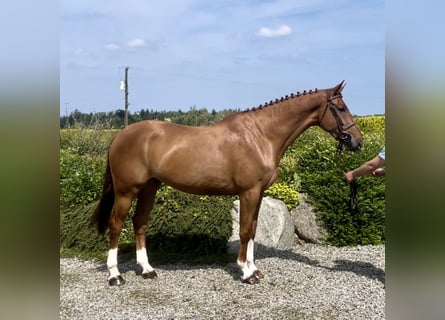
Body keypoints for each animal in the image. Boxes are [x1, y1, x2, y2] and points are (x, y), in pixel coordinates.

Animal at [91, 82, 360, 284]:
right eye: (340, 108)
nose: (358, 141)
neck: (260, 135)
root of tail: (121, 135)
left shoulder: (258, 193)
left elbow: (253, 229)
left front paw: (254, 269)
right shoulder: (248, 192)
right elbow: (244, 231)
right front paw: (246, 272)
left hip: (149, 187)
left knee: (140, 223)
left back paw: (147, 269)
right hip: (126, 191)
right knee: (116, 225)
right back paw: (115, 275)